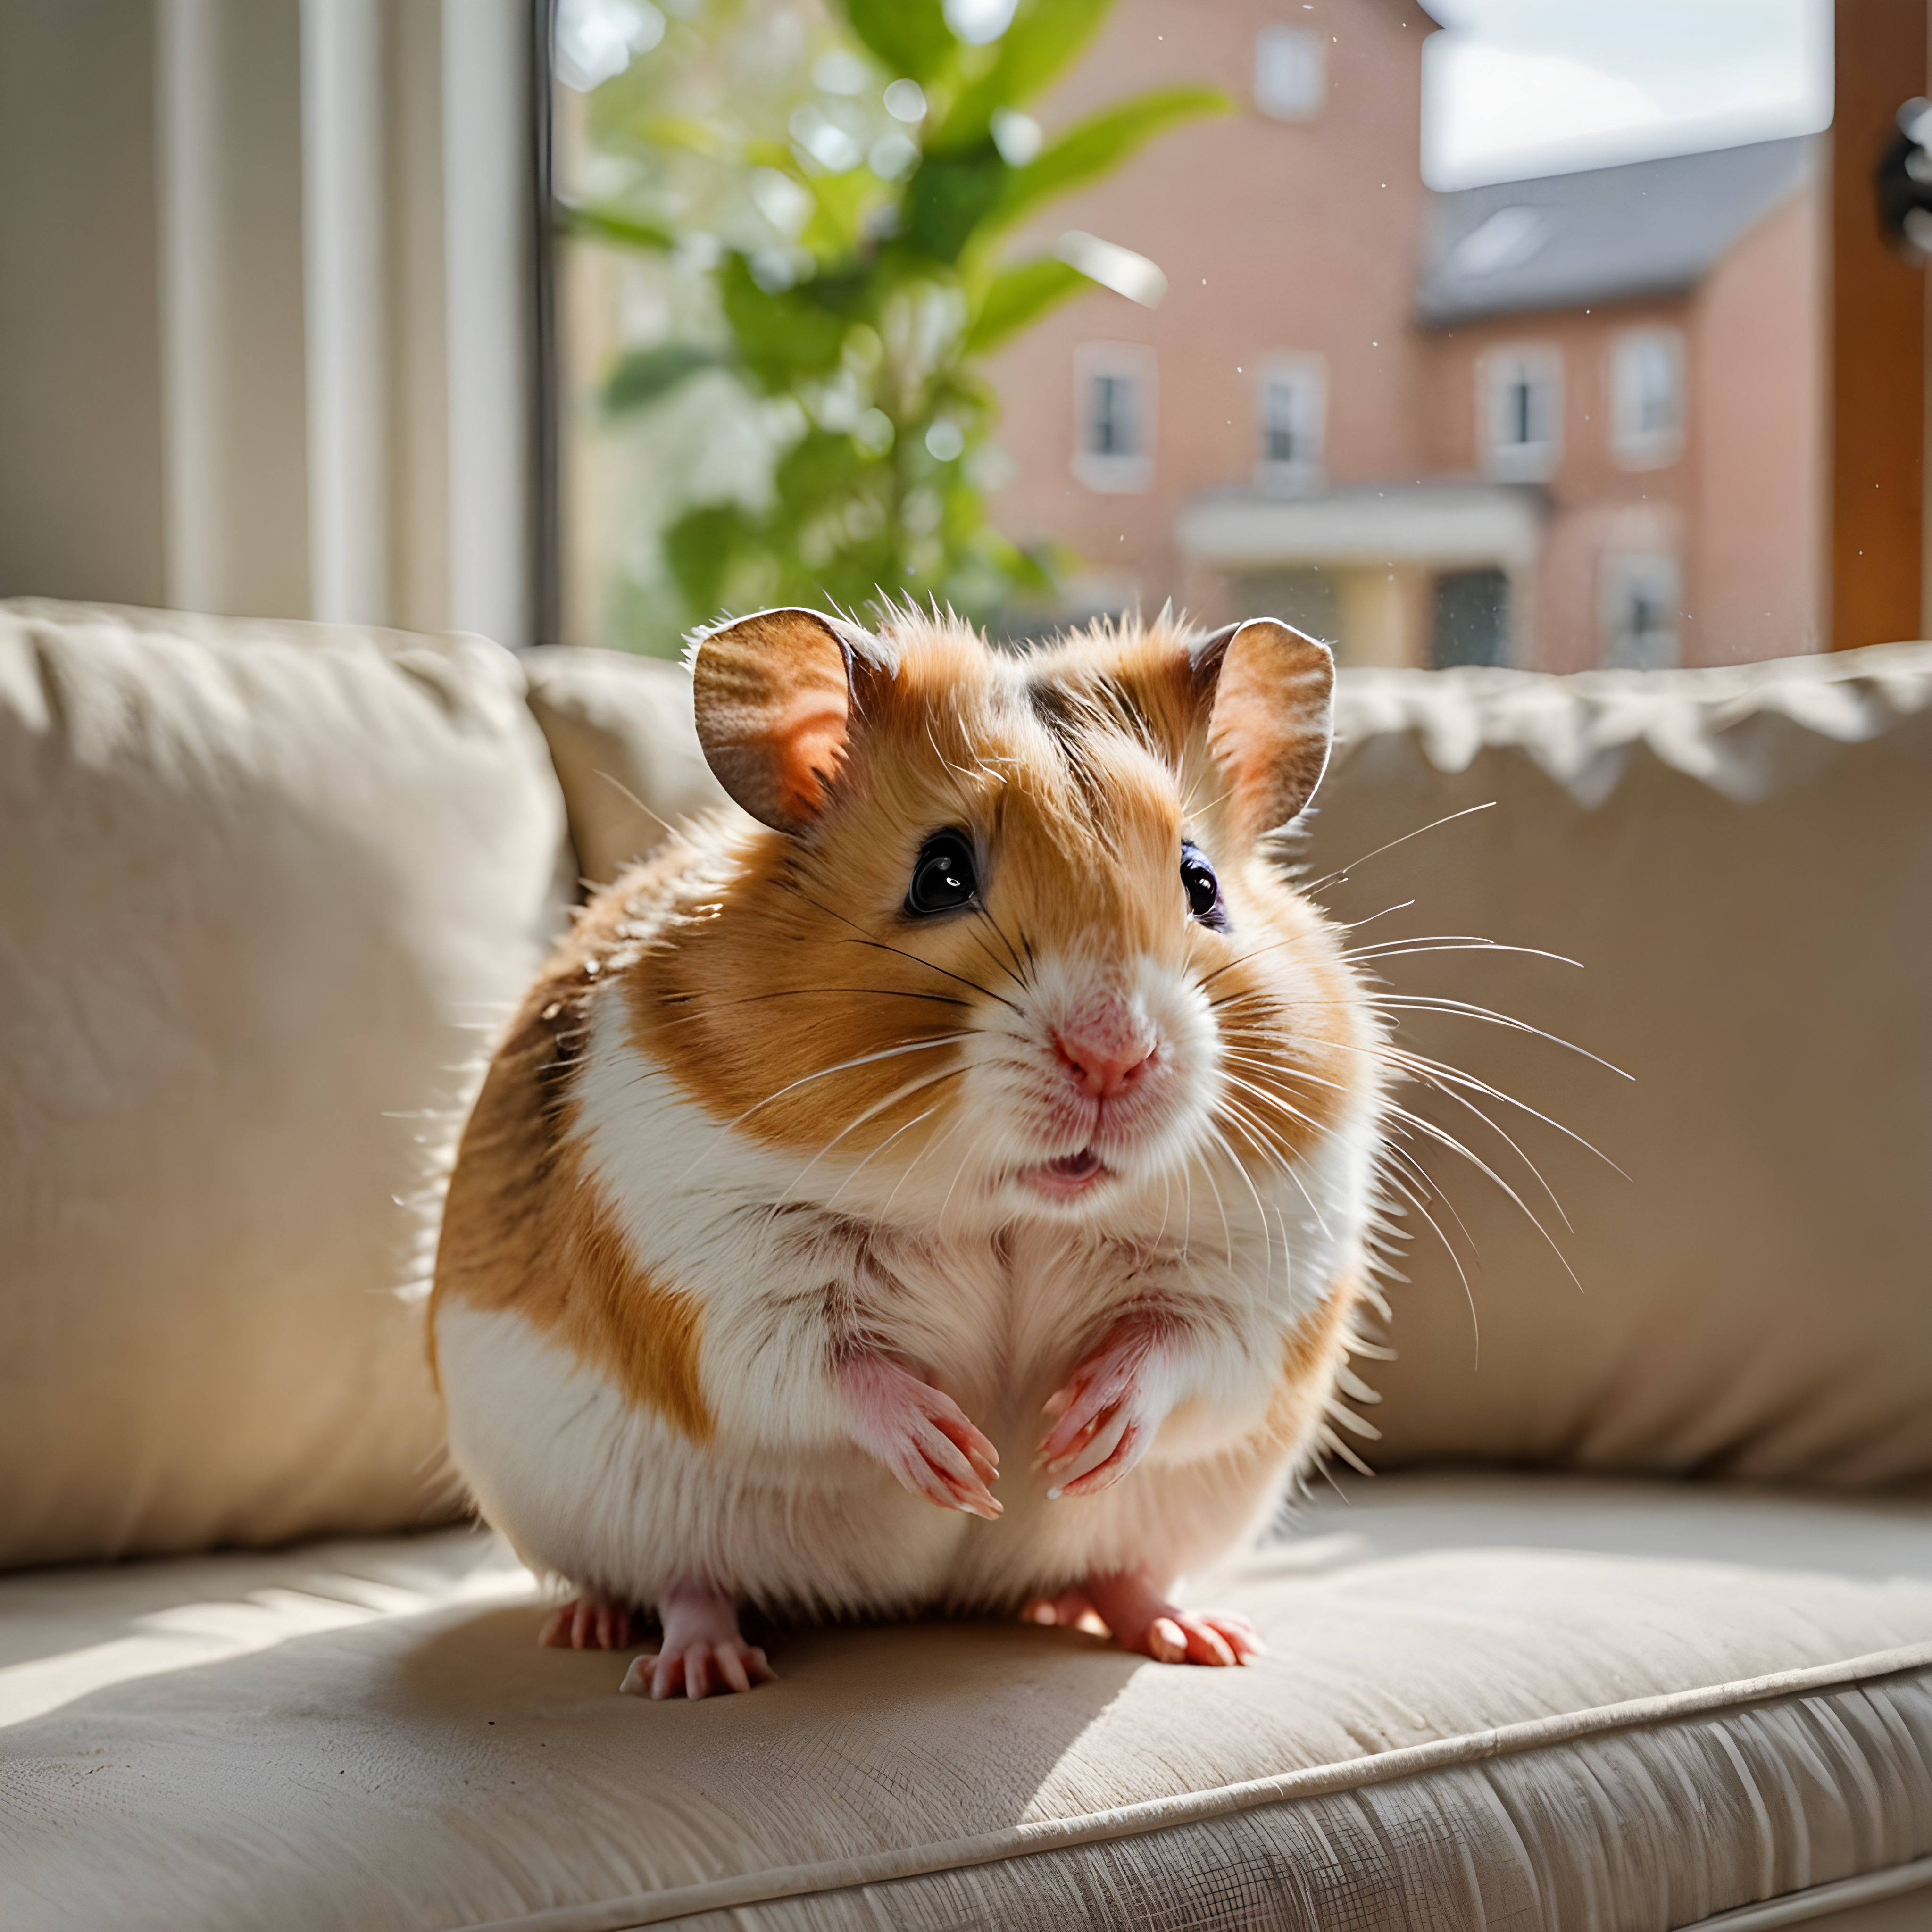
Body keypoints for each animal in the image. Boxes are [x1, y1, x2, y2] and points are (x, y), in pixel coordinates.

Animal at [430, 606, 1386, 1699]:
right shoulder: (710, 1272)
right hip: (637, 1518)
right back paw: (674, 1659)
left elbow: (1180, 1345)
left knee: (1115, 1572)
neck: (1011, 1208)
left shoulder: (1265, 1274)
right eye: (940, 875)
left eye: (1202, 884)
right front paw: (961, 1465)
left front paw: (1070, 1437)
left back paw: (1194, 1633)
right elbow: (827, 1365)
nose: (1114, 1055)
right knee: (683, 1581)